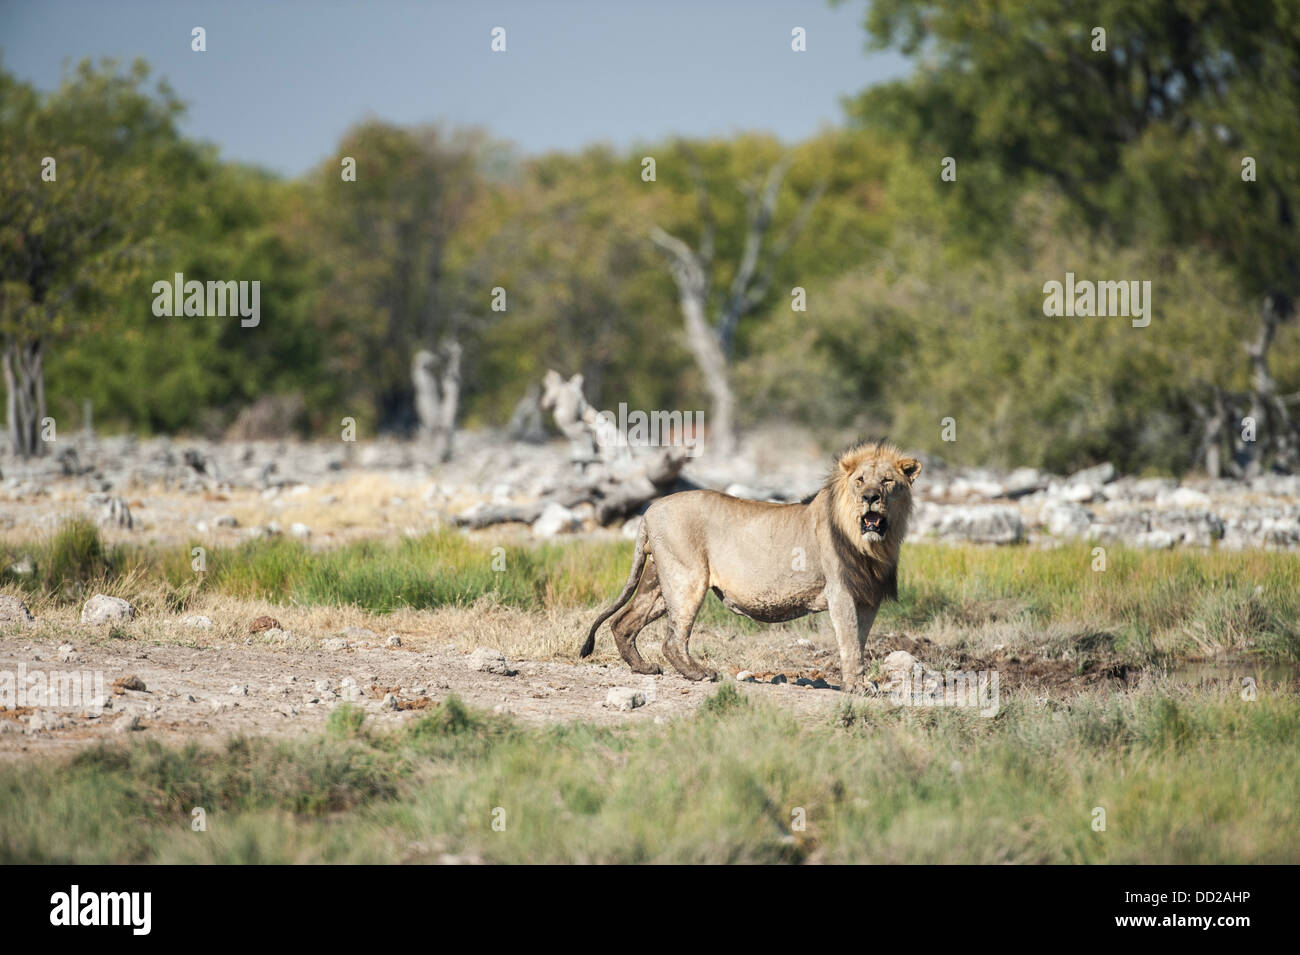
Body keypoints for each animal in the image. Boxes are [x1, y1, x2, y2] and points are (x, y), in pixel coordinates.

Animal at [574, 436, 920, 691]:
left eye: (887, 481)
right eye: (860, 480)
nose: (871, 497)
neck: (872, 544)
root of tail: (649, 510)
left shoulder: (869, 598)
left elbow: (859, 641)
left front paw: (860, 682)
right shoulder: (841, 592)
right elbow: (849, 641)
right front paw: (857, 687)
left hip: (660, 581)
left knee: (623, 622)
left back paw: (643, 667)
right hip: (686, 579)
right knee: (672, 639)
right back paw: (700, 673)